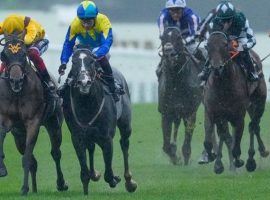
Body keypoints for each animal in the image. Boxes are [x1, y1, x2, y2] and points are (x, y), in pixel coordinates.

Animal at [0, 35, 67, 195]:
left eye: (23, 55)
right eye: (4, 55)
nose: (16, 80)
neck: (17, 93)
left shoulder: (33, 122)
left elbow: (27, 158)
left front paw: (24, 188)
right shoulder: (6, 119)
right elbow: (2, 134)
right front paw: (2, 168)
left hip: (54, 125)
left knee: (55, 153)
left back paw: (61, 184)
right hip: (19, 135)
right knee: (33, 161)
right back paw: (35, 189)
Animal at [61, 47, 137, 195]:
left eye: (91, 61)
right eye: (73, 62)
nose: (84, 82)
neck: (87, 104)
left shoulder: (106, 138)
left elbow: (108, 173)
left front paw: (115, 178)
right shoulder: (77, 137)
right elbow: (84, 172)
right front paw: (86, 188)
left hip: (126, 124)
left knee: (124, 144)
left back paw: (129, 182)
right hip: (90, 135)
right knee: (91, 148)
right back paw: (94, 174)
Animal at [158, 27, 202, 164]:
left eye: (178, 37)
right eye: (162, 38)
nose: (169, 53)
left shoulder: (190, 112)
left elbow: (187, 144)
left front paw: (185, 159)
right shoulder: (166, 112)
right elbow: (166, 146)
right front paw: (175, 157)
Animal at [204, 31, 268, 173]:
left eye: (224, 45)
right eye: (208, 46)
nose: (217, 68)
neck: (224, 86)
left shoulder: (238, 115)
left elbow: (236, 142)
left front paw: (238, 160)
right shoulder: (214, 112)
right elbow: (213, 139)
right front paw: (216, 161)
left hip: (259, 102)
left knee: (254, 126)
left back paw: (255, 157)